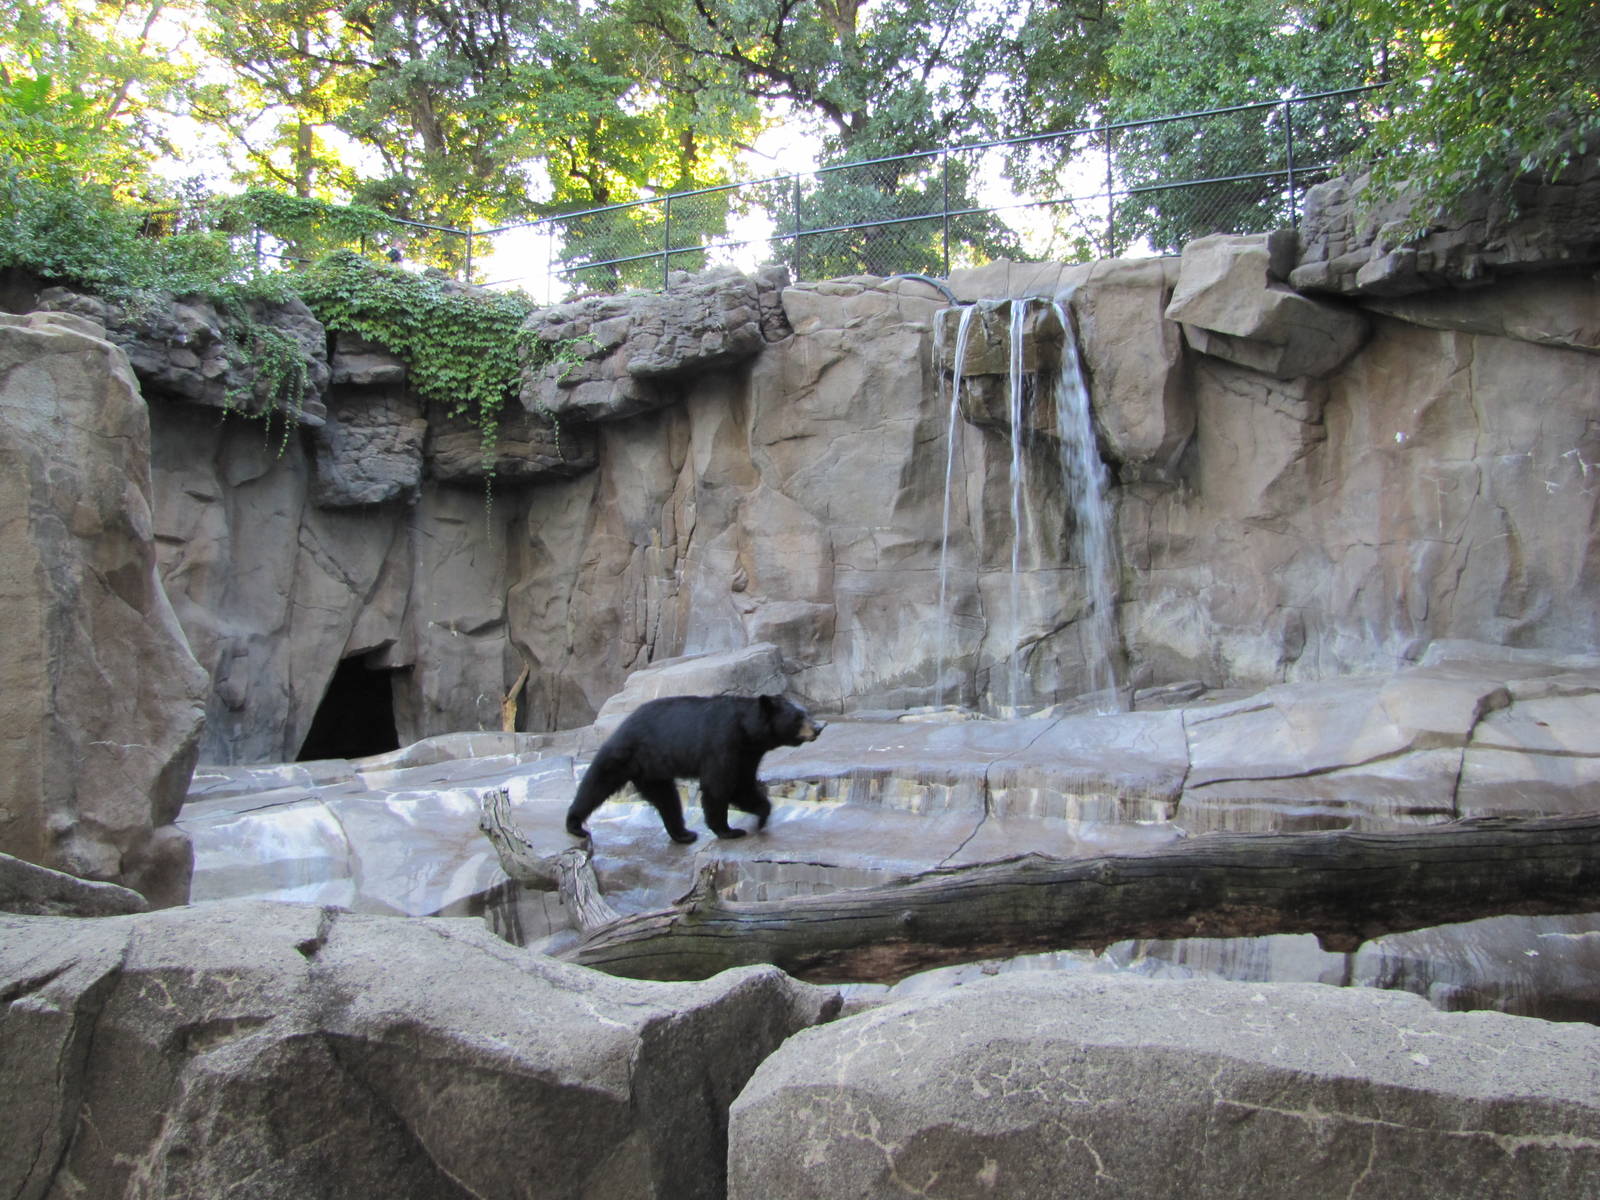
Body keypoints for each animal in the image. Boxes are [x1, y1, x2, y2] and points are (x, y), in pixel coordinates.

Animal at [565, 693, 826, 844]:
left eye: (807, 713)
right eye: (798, 717)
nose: (818, 727)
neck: (747, 730)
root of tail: (623, 723)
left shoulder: (748, 754)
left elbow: (743, 784)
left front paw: (761, 816)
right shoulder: (723, 741)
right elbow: (719, 785)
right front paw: (729, 830)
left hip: (652, 770)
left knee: (666, 799)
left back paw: (683, 834)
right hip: (627, 752)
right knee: (597, 783)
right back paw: (575, 824)